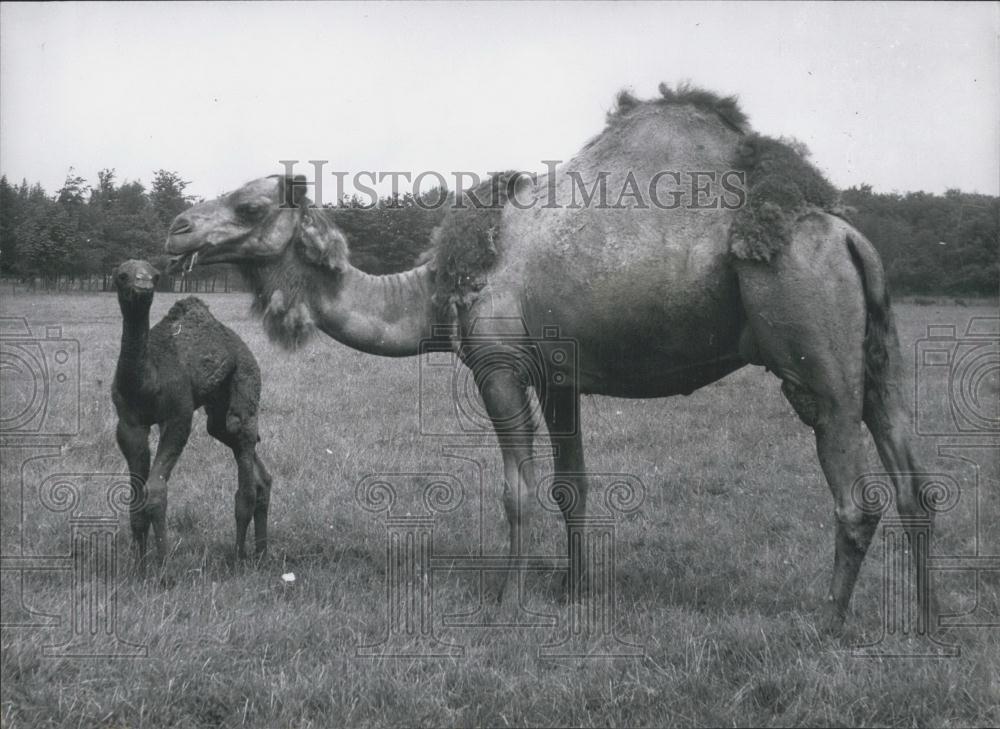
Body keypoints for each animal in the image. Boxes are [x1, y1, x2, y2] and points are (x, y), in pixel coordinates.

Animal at [111, 258, 270, 572]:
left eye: (154, 275)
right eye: (123, 275)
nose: (143, 286)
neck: (148, 381)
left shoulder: (178, 416)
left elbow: (155, 493)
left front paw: (163, 571)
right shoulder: (129, 425)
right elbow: (136, 498)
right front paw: (138, 569)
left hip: (246, 386)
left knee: (245, 482)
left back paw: (239, 558)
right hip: (218, 413)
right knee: (259, 475)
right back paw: (261, 553)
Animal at [162, 84, 928, 632]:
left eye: (250, 205)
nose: (177, 227)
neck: (439, 291)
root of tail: (849, 238)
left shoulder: (500, 367)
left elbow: (517, 489)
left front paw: (509, 601)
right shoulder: (562, 374)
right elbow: (572, 485)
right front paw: (574, 588)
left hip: (812, 346)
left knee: (854, 491)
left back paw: (827, 623)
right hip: (881, 355)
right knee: (915, 479)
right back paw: (929, 618)